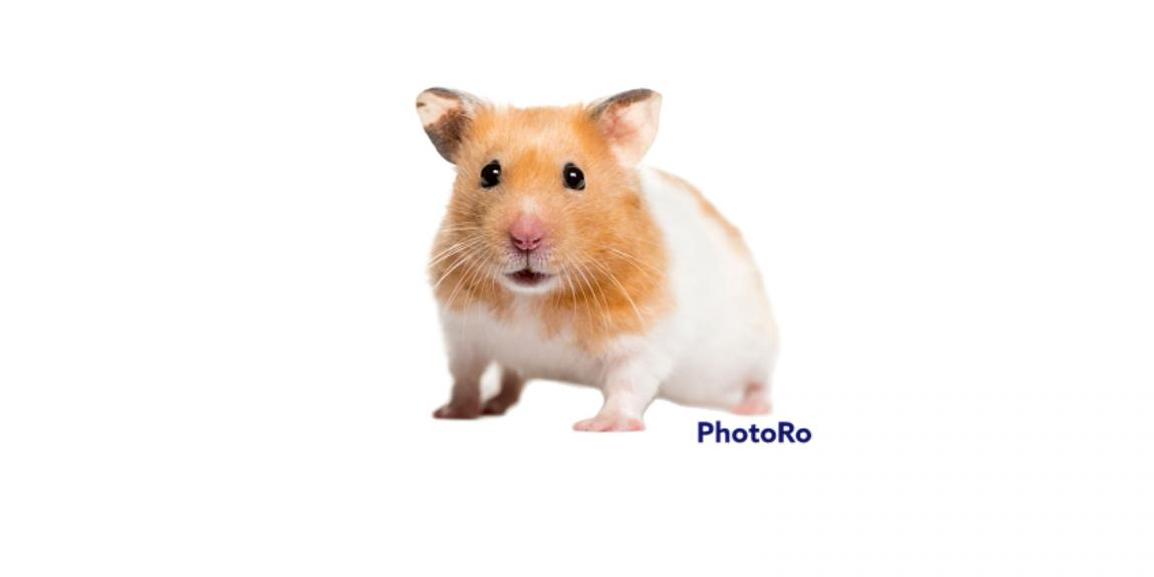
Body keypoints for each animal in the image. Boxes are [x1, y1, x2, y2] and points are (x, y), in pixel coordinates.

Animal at [415, 87, 778, 431]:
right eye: (489, 173)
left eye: (575, 177)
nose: (525, 238)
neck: (533, 299)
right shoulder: (463, 336)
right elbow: (465, 378)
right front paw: (452, 414)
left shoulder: (641, 341)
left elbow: (627, 385)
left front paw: (600, 426)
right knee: (510, 377)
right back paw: (494, 405)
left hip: (756, 347)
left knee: (759, 380)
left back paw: (753, 409)